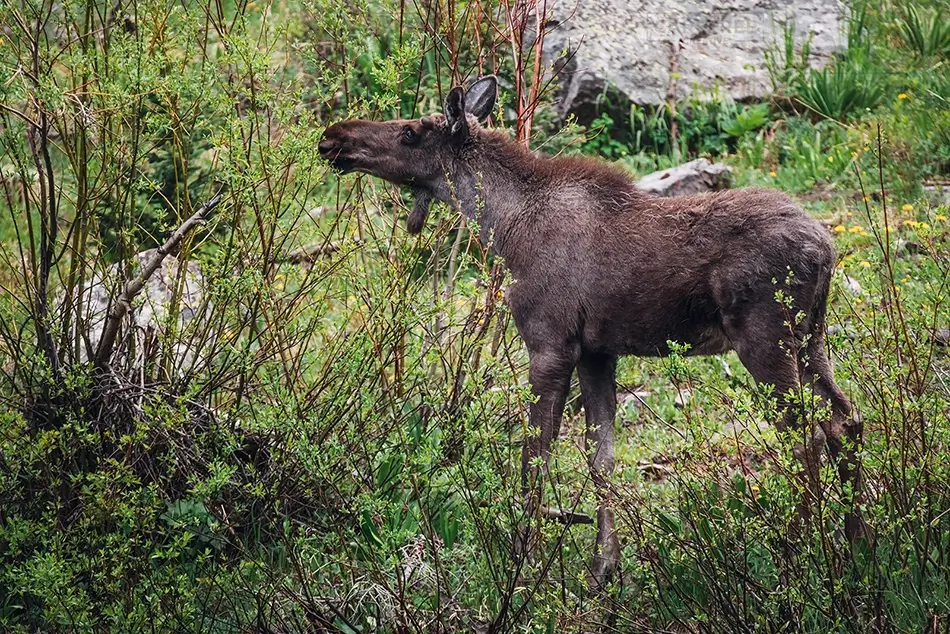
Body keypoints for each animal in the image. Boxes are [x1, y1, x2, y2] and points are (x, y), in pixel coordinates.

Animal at [318, 75, 863, 588]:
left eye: (410, 132)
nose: (333, 137)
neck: (503, 228)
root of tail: (827, 249)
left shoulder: (550, 342)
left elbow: (536, 455)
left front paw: (526, 562)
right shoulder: (597, 352)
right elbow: (601, 456)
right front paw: (604, 567)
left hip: (765, 338)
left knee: (805, 435)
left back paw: (799, 555)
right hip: (811, 339)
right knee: (845, 419)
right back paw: (858, 547)